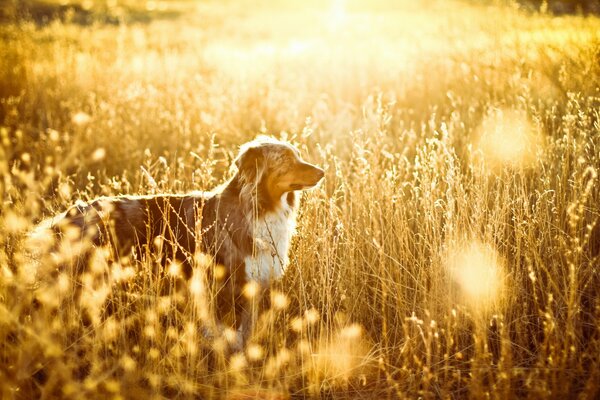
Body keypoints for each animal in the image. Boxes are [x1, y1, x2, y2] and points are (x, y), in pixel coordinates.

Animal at [36, 138, 324, 334]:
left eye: (298, 155)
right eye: (286, 159)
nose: (322, 172)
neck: (258, 205)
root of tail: (69, 215)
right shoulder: (225, 285)